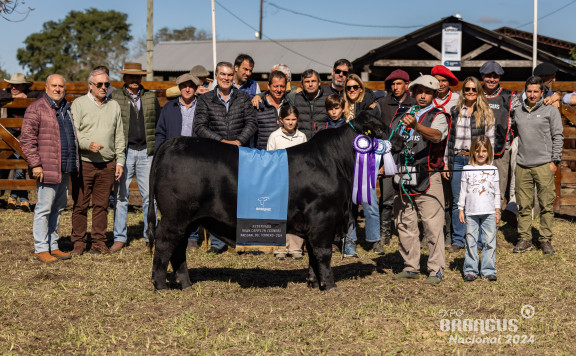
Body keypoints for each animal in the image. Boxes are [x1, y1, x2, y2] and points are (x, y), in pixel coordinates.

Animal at [146, 112, 394, 292]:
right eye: (381, 129)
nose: (400, 139)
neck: (334, 162)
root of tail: (177, 141)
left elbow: (312, 255)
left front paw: (314, 283)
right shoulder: (323, 218)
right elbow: (323, 253)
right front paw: (330, 285)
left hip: (188, 220)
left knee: (178, 249)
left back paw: (186, 284)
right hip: (175, 217)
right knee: (165, 243)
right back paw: (160, 285)